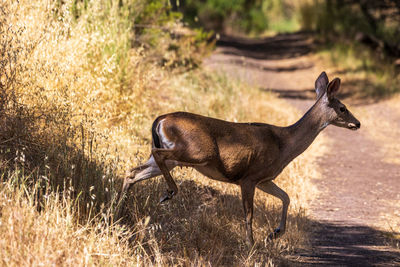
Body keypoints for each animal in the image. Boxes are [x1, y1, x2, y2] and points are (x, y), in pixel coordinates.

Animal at [120, 71, 360, 247]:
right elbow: (249, 214)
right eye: (343, 108)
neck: (284, 144)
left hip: (171, 158)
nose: (357, 123)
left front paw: (274, 233)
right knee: (154, 157)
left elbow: (286, 197)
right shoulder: (249, 177)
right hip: (196, 152)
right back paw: (168, 192)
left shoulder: (264, 179)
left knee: (132, 172)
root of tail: (160, 119)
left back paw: (120, 210)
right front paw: (251, 244)